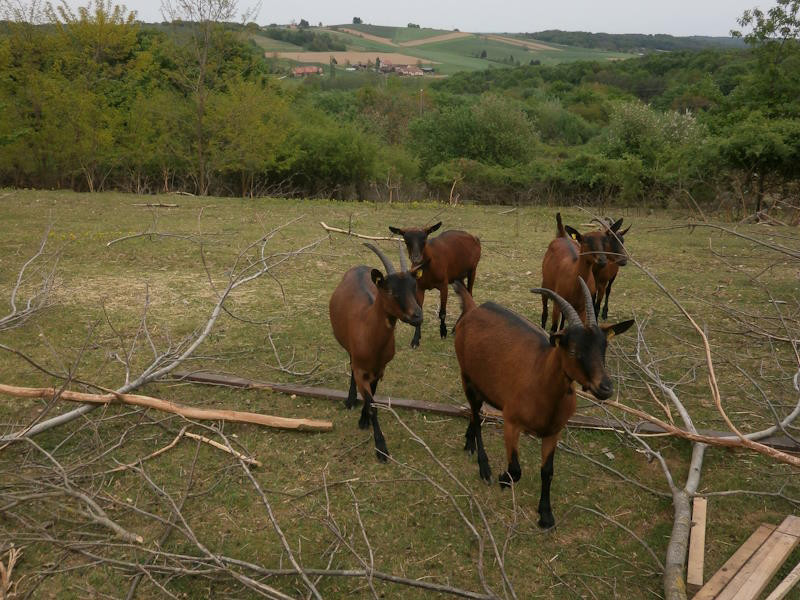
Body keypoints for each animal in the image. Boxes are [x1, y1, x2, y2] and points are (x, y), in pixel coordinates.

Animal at [328, 241, 422, 462]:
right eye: (391, 291)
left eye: (414, 287)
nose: (418, 316)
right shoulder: (362, 369)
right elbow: (372, 406)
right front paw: (381, 448)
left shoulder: (380, 370)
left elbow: (373, 401)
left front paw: (363, 420)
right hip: (351, 353)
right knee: (350, 364)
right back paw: (350, 400)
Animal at [456, 278, 632, 528]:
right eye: (573, 350)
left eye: (604, 347)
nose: (605, 387)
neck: (540, 378)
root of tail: (473, 309)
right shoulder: (511, 423)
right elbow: (515, 469)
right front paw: (502, 478)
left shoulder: (553, 432)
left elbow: (547, 471)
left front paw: (546, 515)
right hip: (467, 377)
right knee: (475, 413)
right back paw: (484, 468)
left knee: (475, 412)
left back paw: (469, 443)